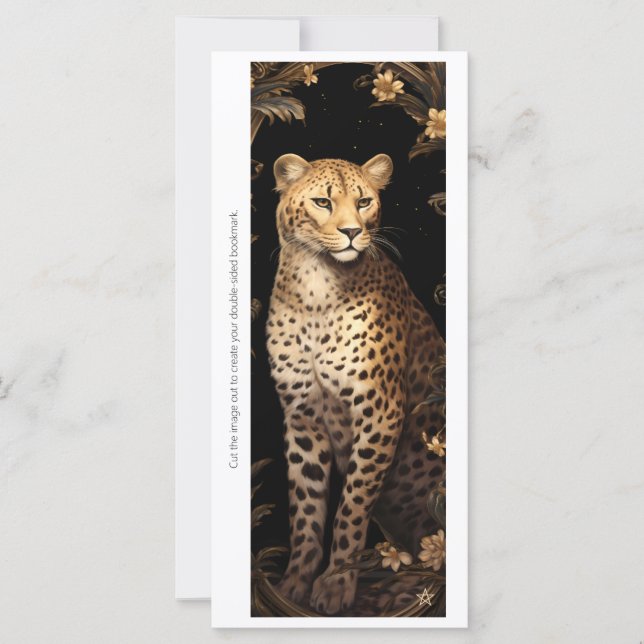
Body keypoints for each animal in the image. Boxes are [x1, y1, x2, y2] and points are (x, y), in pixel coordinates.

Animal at [266, 153, 445, 615]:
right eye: (323, 202)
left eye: (364, 201)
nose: (351, 232)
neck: (316, 287)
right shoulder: (302, 418)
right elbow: (306, 506)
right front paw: (294, 583)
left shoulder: (380, 413)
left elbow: (351, 505)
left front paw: (335, 583)